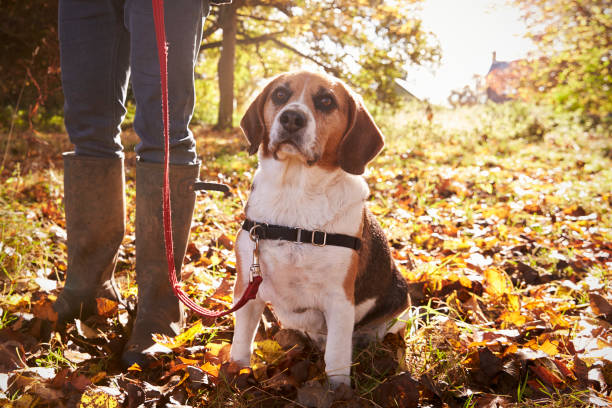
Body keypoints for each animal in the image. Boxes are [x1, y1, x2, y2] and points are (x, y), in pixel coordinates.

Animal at [230, 71, 412, 388]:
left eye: (326, 101)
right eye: (280, 94)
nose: (292, 118)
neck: (295, 193)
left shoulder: (339, 300)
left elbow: (337, 356)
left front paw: (338, 391)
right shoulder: (247, 288)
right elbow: (241, 343)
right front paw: (234, 376)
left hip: (401, 305)